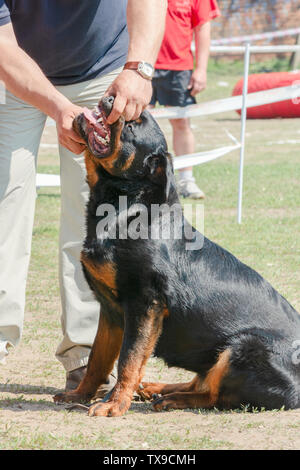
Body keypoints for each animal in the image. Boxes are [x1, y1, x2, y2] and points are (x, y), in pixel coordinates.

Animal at [54, 94, 300, 414]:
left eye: (132, 124)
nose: (110, 96)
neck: (125, 208)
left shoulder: (145, 303)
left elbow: (129, 360)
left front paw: (114, 405)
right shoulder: (110, 311)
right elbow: (98, 359)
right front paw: (80, 394)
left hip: (242, 347)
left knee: (214, 396)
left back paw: (171, 398)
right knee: (202, 382)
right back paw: (157, 389)